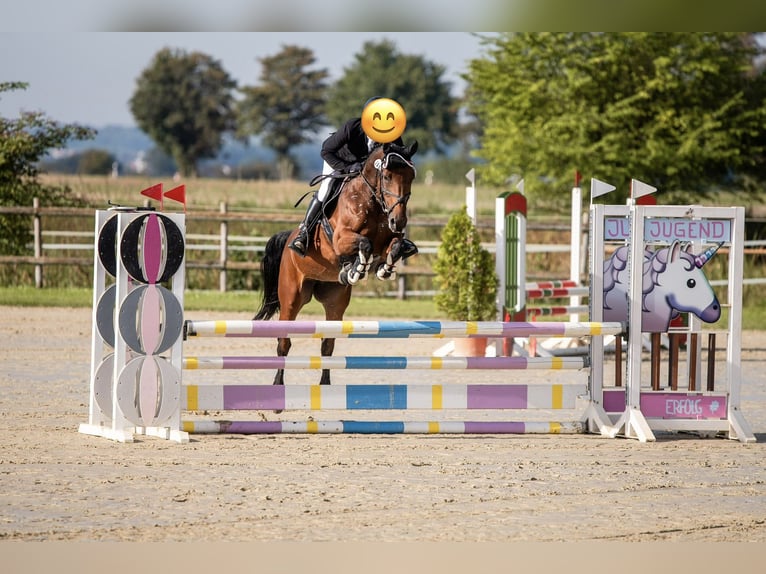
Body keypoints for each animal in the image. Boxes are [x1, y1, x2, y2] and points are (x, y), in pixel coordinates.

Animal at [253, 141, 418, 386]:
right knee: (284, 343)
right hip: (292, 297)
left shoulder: (389, 239)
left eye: (411, 176)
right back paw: (278, 384)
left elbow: (395, 246)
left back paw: (325, 385)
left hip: (335, 302)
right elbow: (365, 243)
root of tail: (288, 239)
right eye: (387, 176)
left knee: (327, 345)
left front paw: (383, 269)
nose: (398, 221)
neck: (372, 203)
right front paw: (357, 269)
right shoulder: (341, 239)